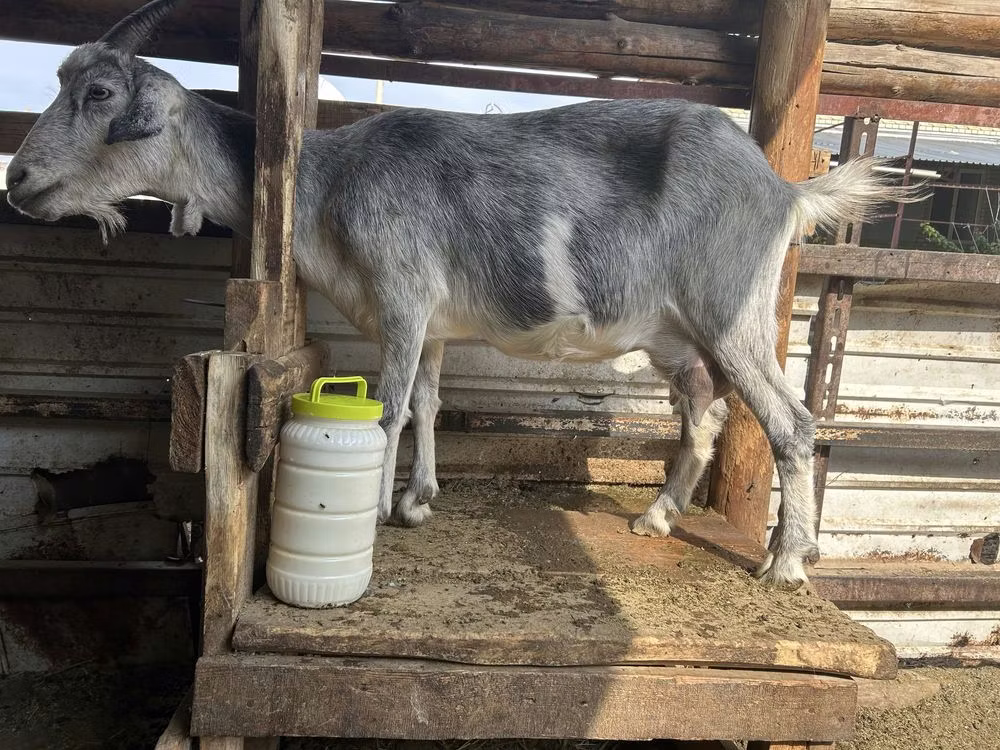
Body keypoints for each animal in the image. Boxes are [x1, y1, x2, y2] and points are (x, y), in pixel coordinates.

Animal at [6, 0, 916, 586]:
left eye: (98, 93)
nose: (17, 179)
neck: (325, 182)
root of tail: (785, 189)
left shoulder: (403, 299)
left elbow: (387, 407)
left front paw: (377, 517)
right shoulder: (436, 325)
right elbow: (430, 403)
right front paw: (420, 500)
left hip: (731, 311)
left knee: (790, 421)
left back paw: (787, 564)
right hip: (675, 336)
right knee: (705, 409)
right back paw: (657, 517)